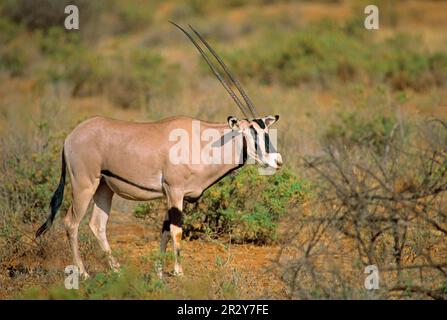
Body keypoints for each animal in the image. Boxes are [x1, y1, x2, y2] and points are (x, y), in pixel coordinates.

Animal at [37, 21, 284, 278]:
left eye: (266, 130)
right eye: (251, 132)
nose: (277, 161)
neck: (204, 141)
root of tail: (71, 136)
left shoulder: (172, 195)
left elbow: (164, 230)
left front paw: (158, 273)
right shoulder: (174, 191)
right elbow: (177, 230)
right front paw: (178, 273)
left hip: (104, 188)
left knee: (97, 225)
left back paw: (116, 270)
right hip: (84, 184)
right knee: (71, 223)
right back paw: (84, 273)